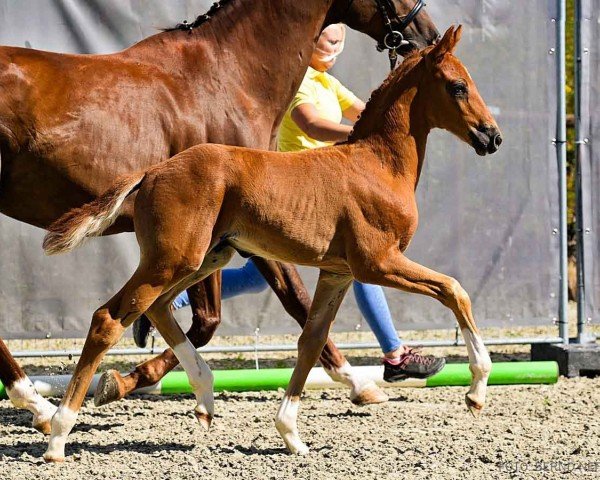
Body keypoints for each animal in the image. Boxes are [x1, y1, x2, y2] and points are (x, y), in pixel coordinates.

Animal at [43, 27, 502, 462]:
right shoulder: (377, 262)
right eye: (458, 86)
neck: (377, 165)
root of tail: (152, 170)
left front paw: (291, 435)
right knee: (108, 318)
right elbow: (454, 289)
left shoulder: (337, 273)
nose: (492, 137)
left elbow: (311, 342)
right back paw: (58, 435)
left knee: (157, 308)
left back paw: (205, 398)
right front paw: (476, 391)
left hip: (205, 257)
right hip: (173, 260)